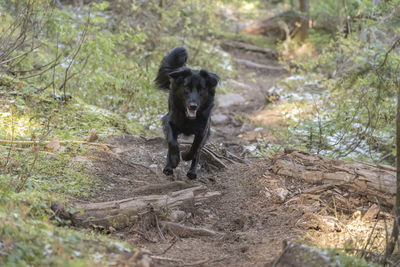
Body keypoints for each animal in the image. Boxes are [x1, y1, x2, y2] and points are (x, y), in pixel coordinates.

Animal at [155, 46, 219, 180]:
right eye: (187, 88)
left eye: (201, 89)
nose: (193, 106)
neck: (188, 118)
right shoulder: (168, 121)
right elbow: (172, 142)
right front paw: (174, 160)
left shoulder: (203, 130)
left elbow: (195, 148)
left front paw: (185, 155)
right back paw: (168, 167)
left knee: (198, 151)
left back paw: (192, 172)